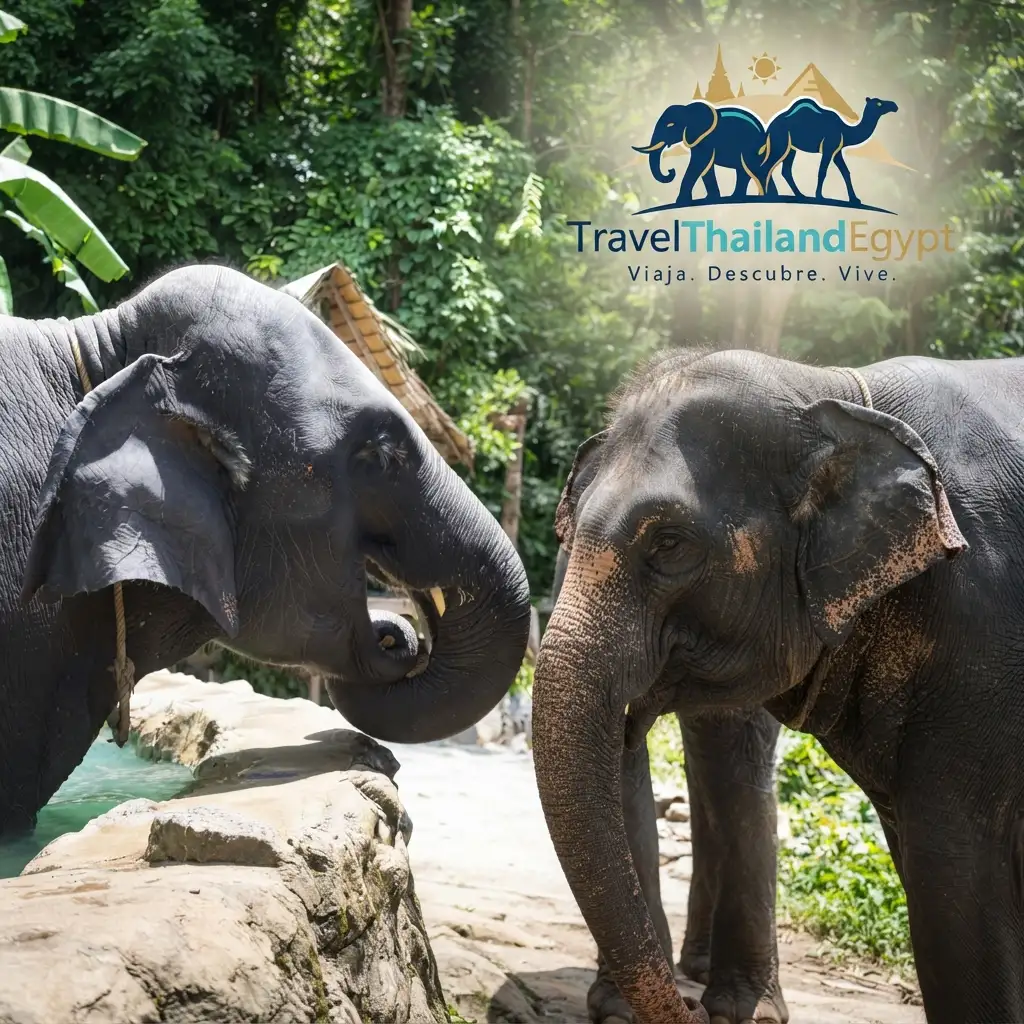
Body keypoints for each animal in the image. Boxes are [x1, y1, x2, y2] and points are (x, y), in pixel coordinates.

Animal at [633, 101, 776, 205]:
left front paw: (681, 202)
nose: (671, 171)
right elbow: (706, 167)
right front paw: (711, 199)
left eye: (670, 125)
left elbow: (698, 164)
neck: (688, 109)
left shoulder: (705, 139)